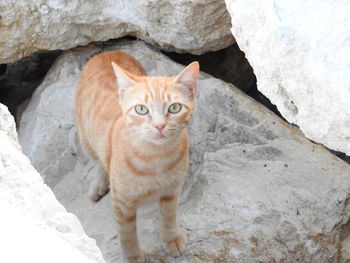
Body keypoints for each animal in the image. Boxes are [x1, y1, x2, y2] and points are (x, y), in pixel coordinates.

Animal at [75, 50, 198, 263]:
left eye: (174, 108)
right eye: (141, 109)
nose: (159, 126)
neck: (157, 158)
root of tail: (108, 51)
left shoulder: (171, 191)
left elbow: (169, 217)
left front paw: (171, 238)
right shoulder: (121, 204)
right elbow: (127, 235)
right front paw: (133, 257)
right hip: (86, 141)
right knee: (99, 160)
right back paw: (99, 182)